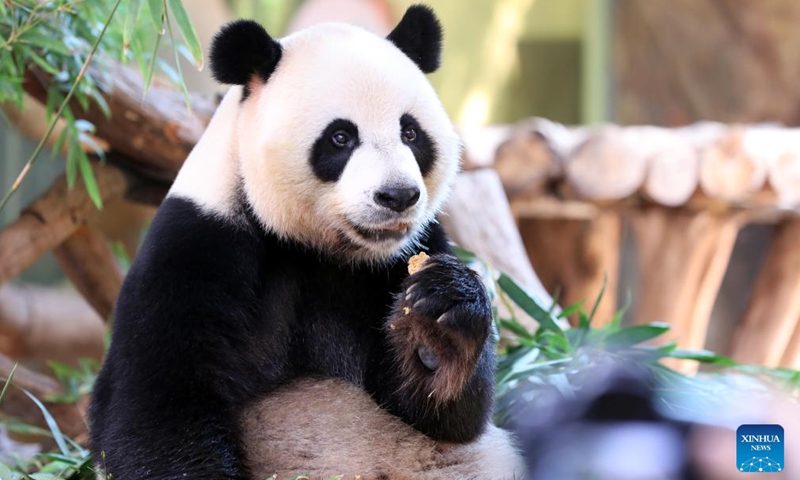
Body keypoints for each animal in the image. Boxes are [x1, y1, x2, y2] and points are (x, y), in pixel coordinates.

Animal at [89, 5, 524, 480]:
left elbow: (442, 420)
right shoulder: (196, 245)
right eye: (341, 137)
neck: (321, 248)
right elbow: (155, 408)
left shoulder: (414, 249)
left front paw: (439, 327)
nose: (398, 196)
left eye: (411, 134)